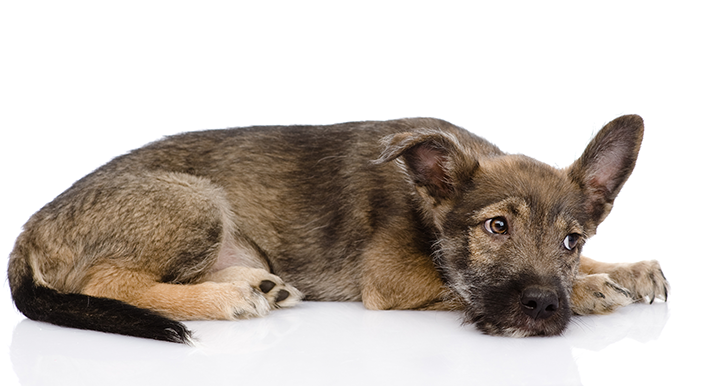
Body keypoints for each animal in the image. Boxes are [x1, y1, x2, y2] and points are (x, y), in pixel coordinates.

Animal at [8, 114, 668, 344]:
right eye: (497, 226)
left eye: (572, 240)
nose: (545, 306)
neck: (422, 199)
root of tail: (28, 228)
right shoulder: (394, 281)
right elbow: (458, 284)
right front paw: (590, 290)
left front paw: (624, 270)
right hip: (194, 200)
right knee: (105, 282)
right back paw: (231, 296)